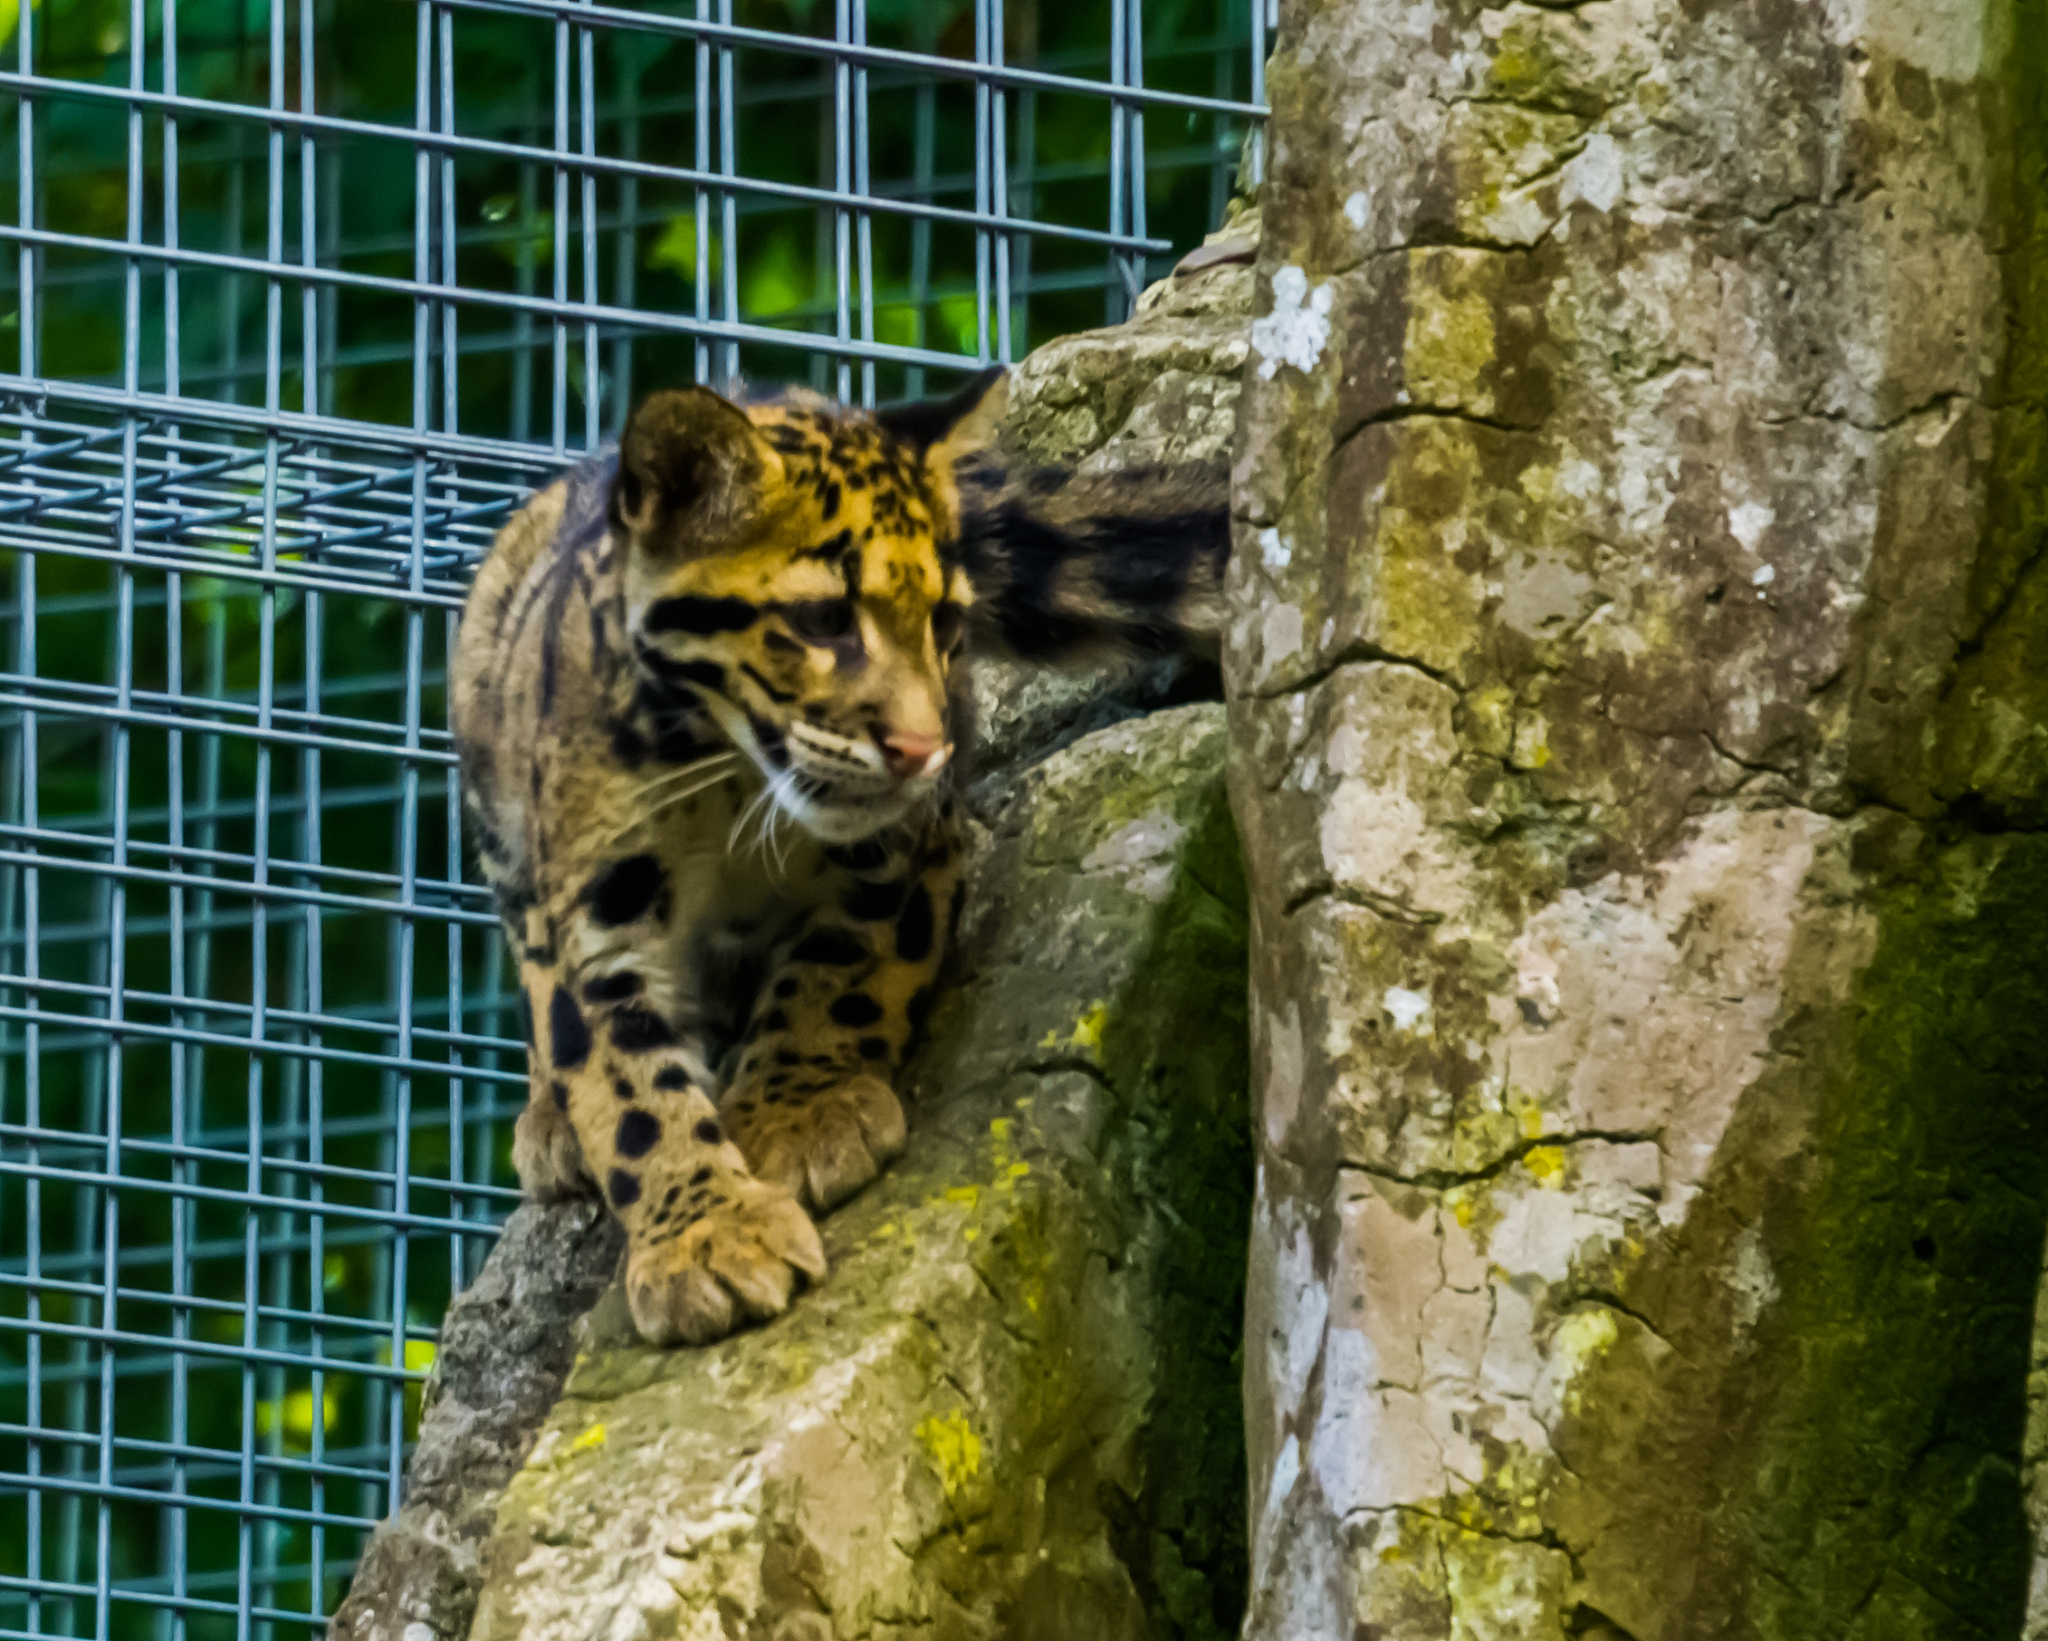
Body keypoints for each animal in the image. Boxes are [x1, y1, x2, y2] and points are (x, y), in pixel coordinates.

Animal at [451, 366, 1226, 1347]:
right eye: (822, 619)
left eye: (945, 621)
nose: (920, 747)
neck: (727, 780)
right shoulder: (592, 916)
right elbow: (627, 1091)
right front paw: (706, 1237)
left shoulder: (910, 849)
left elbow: (842, 974)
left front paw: (796, 1114)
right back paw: (551, 1119)